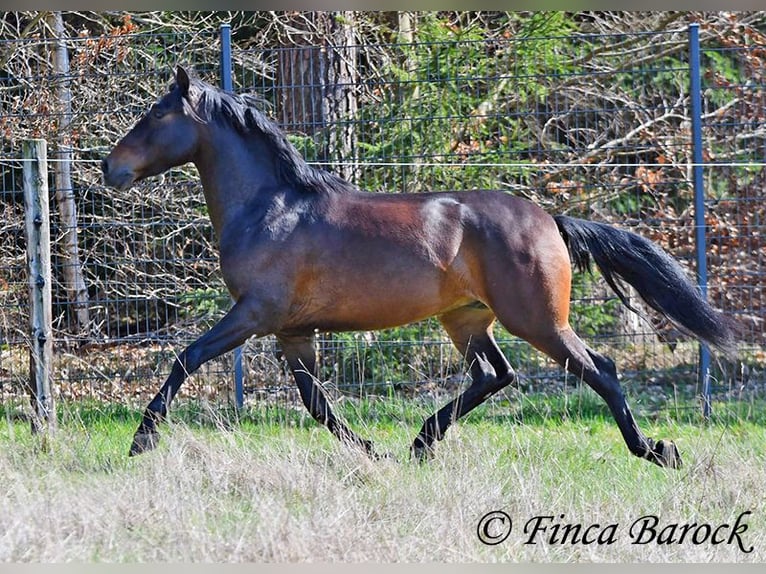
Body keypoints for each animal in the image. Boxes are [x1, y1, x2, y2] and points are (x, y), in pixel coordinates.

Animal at [101, 66, 740, 469]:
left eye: (155, 116)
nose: (111, 168)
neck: (272, 207)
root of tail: (549, 220)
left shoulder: (255, 313)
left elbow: (186, 358)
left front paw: (139, 442)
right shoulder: (292, 331)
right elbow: (317, 404)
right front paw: (373, 452)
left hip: (537, 320)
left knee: (598, 370)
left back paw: (656, 452)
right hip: (466, 319)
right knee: (494, 376)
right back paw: (419, 444)